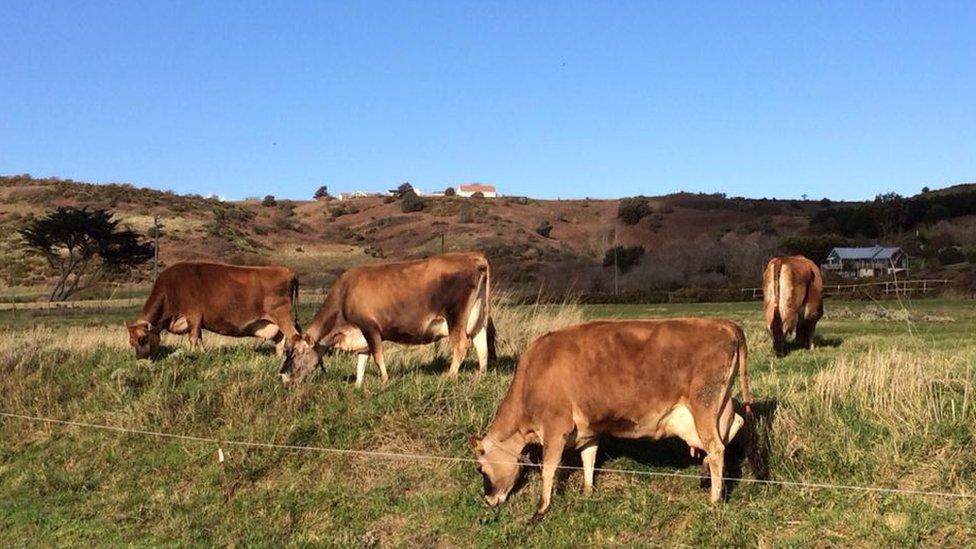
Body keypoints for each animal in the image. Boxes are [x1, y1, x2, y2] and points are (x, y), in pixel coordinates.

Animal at [127, 262, 300, 360]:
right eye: (131, 342)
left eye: (142, 338)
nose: (140, 359)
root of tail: (287, 270)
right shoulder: (196, 321)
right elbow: (199, 338)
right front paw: (202, 353)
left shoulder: (193, 316)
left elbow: (193, 338)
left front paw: (191, 354)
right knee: (281, 340)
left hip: (282, 316)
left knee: (294, 336)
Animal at [276, 252, 496, 386]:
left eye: (293, 353)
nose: (282, 376)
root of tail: (473, 256)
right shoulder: (361, 336)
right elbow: (362, 360)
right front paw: (357, 385)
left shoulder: (369, 327)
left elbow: (377, 355)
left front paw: (383, 380)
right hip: (478, 318)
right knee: (482, 345)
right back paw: (481, 375)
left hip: (455, 315)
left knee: (462, 344)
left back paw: (450, 376)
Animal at [468, 316, 764, 520]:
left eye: (481, 469)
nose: (488, 500)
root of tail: (724, 324)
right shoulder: (589, 429)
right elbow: (589, 458)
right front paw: (587, 492)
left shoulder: (555, 427)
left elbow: (549, 469)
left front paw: (540, 510)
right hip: (717, 406)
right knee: (733, 427)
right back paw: (706, 476)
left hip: (703, 404)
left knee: (716, 448)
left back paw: (714, 499)